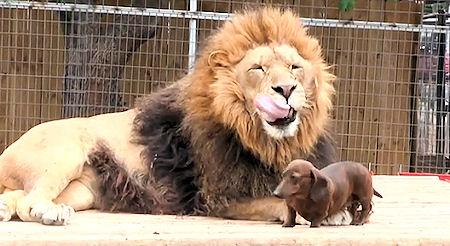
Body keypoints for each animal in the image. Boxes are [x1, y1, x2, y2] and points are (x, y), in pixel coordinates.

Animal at [0, 6, 354, 226]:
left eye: (295, 67)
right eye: (258, 68)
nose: (286, 89)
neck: (270, 142)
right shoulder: (219, 197)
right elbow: (276, 201)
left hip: (82, 190)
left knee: (19, 198)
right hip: (65, 153)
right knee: (30, 203)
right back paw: (51, 214)